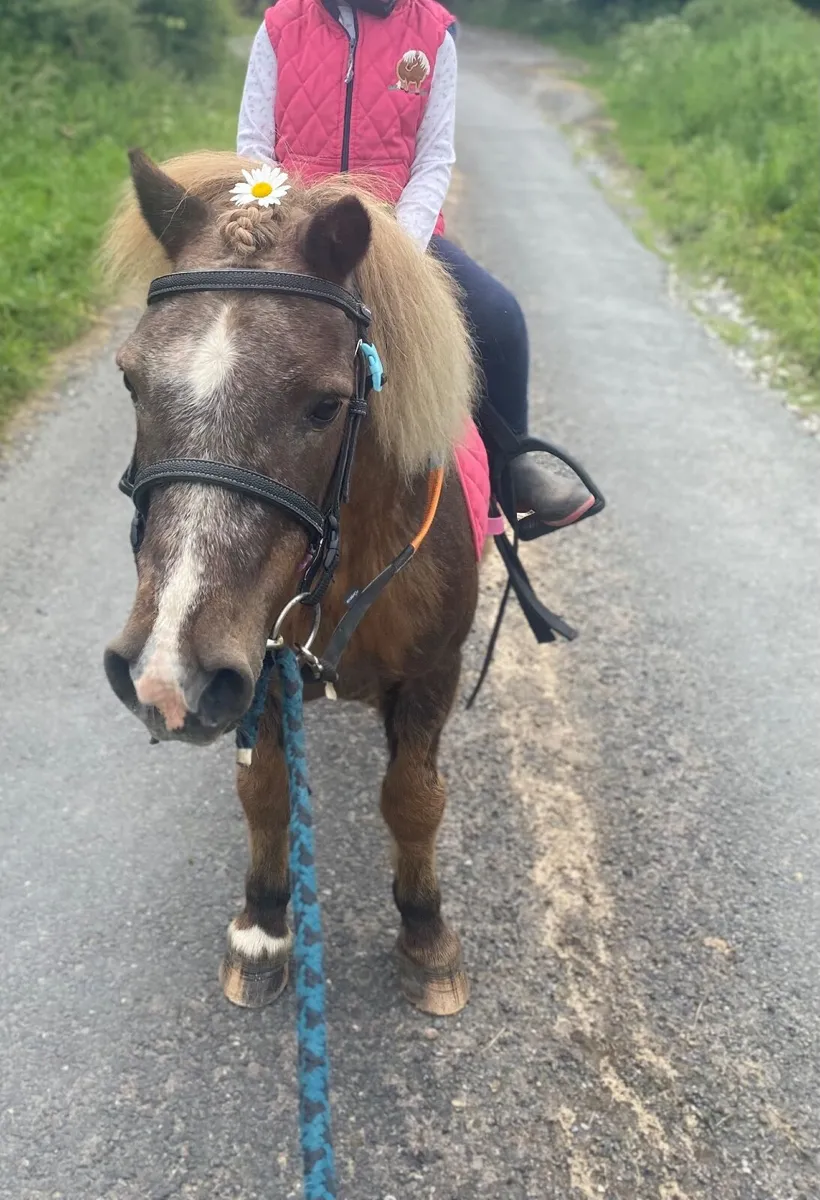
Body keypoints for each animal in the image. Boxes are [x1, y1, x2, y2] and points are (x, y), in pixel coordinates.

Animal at [102, 149, 485, 1017]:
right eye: (132, 382)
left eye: (325, 406)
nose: (163, 675)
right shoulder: (258, 669)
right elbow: (266, 791)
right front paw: (265, 923)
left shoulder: (433, 674)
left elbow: (414, 798)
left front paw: (426, 933)